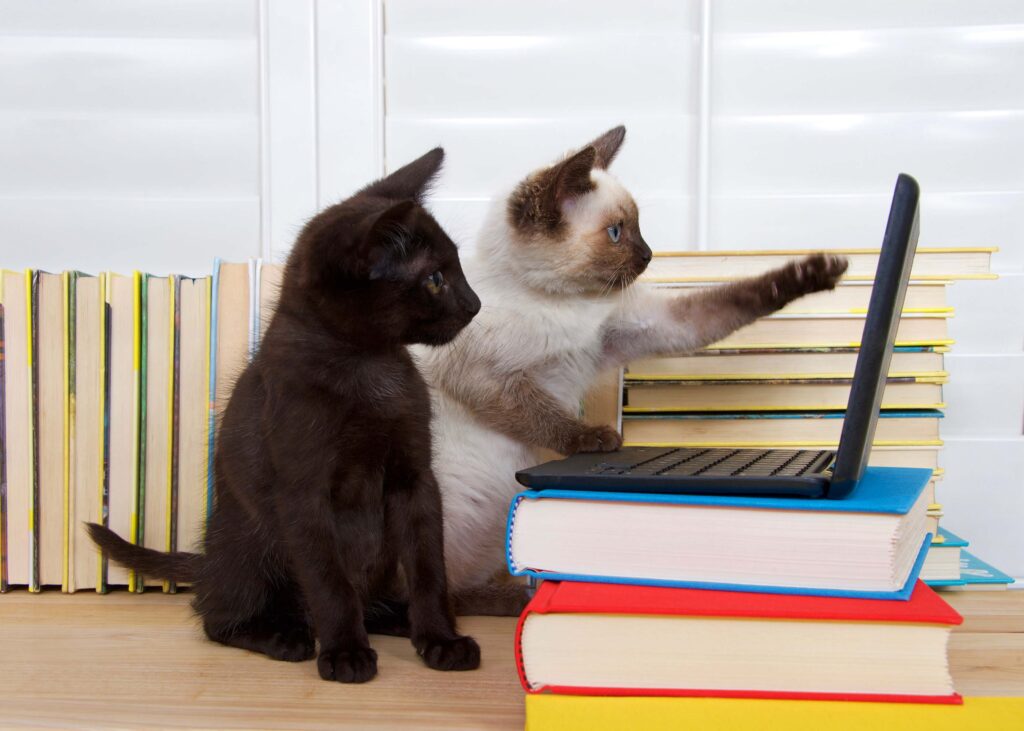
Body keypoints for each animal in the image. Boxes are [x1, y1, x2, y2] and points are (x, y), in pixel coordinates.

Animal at [89, 148, 483, 683]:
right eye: (435, 280)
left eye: (455, 269)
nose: (475, 304)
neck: (368, 366)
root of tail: (207, 562)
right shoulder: (302, 491)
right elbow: (328, 580)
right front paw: (344, 652)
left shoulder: (416, 479)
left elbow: (427, 567)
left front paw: (440, 638)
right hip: (252, 544)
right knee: (217, 616)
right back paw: (284, 635)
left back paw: (396, 617)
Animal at [413, 126, 847, 610]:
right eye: (616, 233)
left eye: (636, 228)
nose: (649, 255)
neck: (567, 307)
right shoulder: (490, 379)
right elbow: (544, 416)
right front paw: (596, 440)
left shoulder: (636, 329)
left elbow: (729, 303)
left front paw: (814, 274)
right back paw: (509, 601)